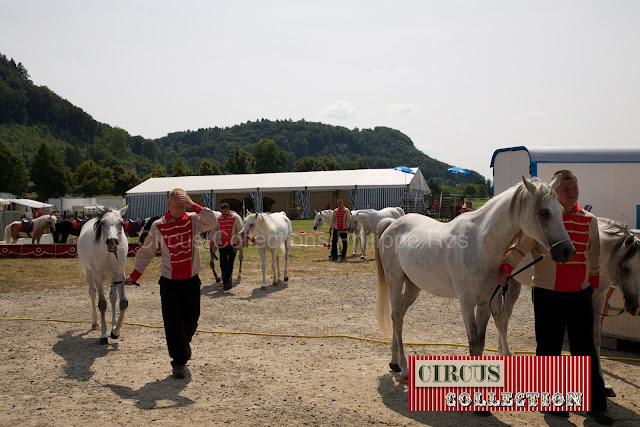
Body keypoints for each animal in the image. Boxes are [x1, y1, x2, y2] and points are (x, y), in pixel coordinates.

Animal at [77, 206, 128, 344]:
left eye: (122, 222)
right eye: (103, 223)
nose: (112, 242)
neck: (108, 254)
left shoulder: (119, 274)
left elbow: (122, 302)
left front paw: (115, 331)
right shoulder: (98, 276)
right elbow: (102, 304)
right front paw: (104, 335)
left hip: (113, 277)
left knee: (113, 297)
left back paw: (113, 324)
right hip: (89, 273)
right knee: (92, 293)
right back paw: (95, 323)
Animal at [376, 176, 576, 382]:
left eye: (561, 210)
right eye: (544, 212)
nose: (567, 252)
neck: (479, 244)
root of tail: (392, 223)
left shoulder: (485, 302)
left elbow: (481, 342)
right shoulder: (466, 303)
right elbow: (474, 343)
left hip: (413, 287)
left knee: (398, 316)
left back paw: (394, 362)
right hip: (395, 281)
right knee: (397, 319)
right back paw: (403, 367)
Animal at [502, 217, 640, 398]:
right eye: (625, 268)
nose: (635, 307)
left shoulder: (599, 299)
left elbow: (596, 340)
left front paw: (603, 383)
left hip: (513, 284)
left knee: (502, 318)